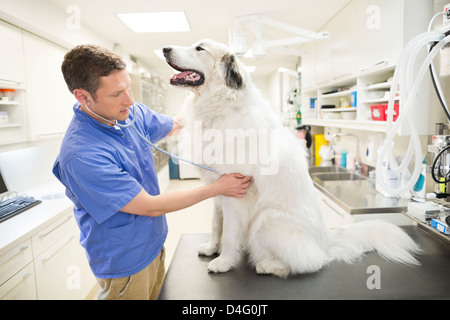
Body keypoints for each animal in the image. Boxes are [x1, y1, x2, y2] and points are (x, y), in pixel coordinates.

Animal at [163, 38, 422, 276]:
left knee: (311, 262)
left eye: (199, 48)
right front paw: (211, 248)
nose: (165, 48)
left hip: (266, 221)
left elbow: (229, 234)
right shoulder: (218, 190)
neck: (221, 107)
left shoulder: (236, 196)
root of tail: (327, 241)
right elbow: (216, 225)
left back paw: (269, 266)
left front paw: (223, 261)